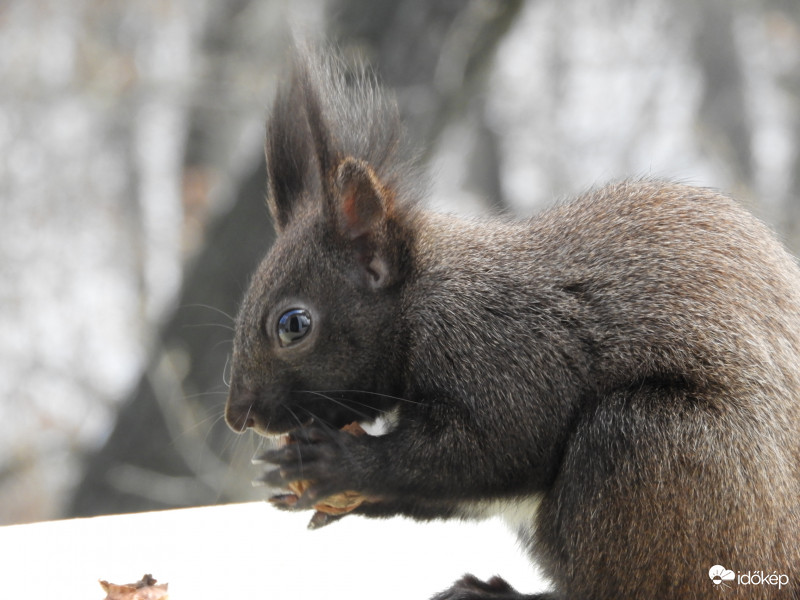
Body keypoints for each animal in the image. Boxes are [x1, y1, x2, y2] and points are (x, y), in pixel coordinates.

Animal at [223, 48, 800, 600]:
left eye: (293, 324)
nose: (238, 417)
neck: (421, 301)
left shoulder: (506, 354)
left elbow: (490, 451)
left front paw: (338, 463)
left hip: (654, 453)